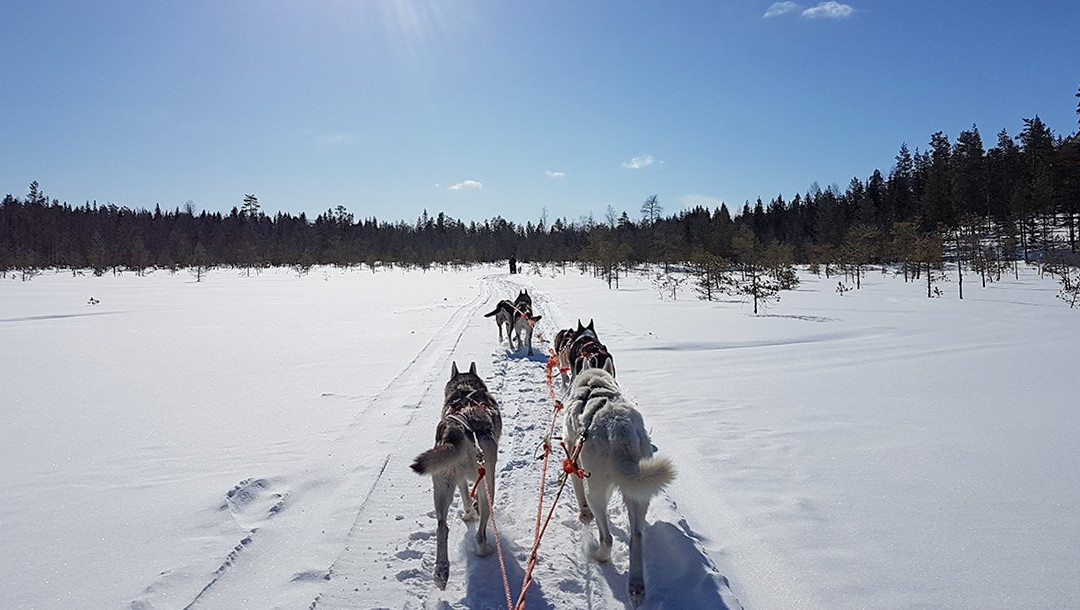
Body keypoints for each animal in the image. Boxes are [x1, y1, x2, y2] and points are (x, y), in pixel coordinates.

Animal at [408, 358, 501, 587]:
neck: (466, 390)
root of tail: (457, 431)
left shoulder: (460, 480)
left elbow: (466, 498)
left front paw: (468, 514)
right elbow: (472, 500)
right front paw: (472, 513)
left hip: (442, 486)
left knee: (442, 526)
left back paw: (441, 572)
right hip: (488, 484)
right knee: (480, 532)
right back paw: (484, 549)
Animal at [565, 364, 673, 604]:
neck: (594, 384)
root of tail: (619, 427)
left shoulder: (573, 457)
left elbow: (578, 493)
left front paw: (582, 514)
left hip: (595, 489)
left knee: (607, 538)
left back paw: (598, 555)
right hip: (638, 494)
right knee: (637, 537)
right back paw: (636, 586)